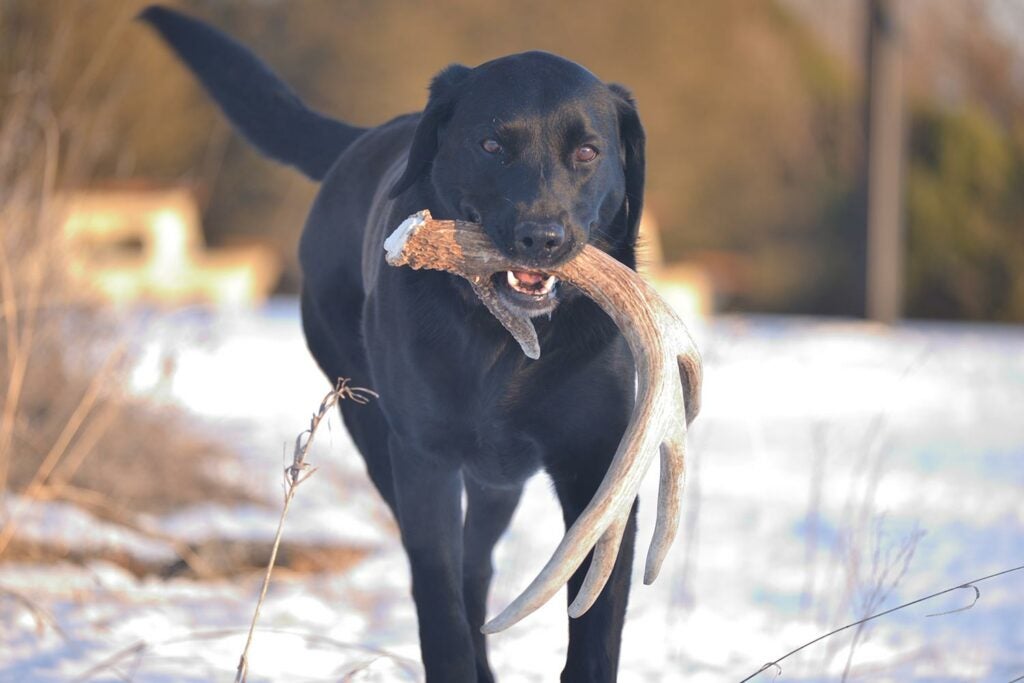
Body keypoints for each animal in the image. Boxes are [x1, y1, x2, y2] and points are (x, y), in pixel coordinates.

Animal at [142, 7, 647, 679]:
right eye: (491, 145)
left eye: (588, 152)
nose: (541, 238)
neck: (503, 344)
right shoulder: (425, 460)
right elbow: (439, 602)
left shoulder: (599, 467)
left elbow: (594, 623)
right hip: (377, 431)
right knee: (450, 572)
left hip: (497, 481)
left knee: (477, 566)